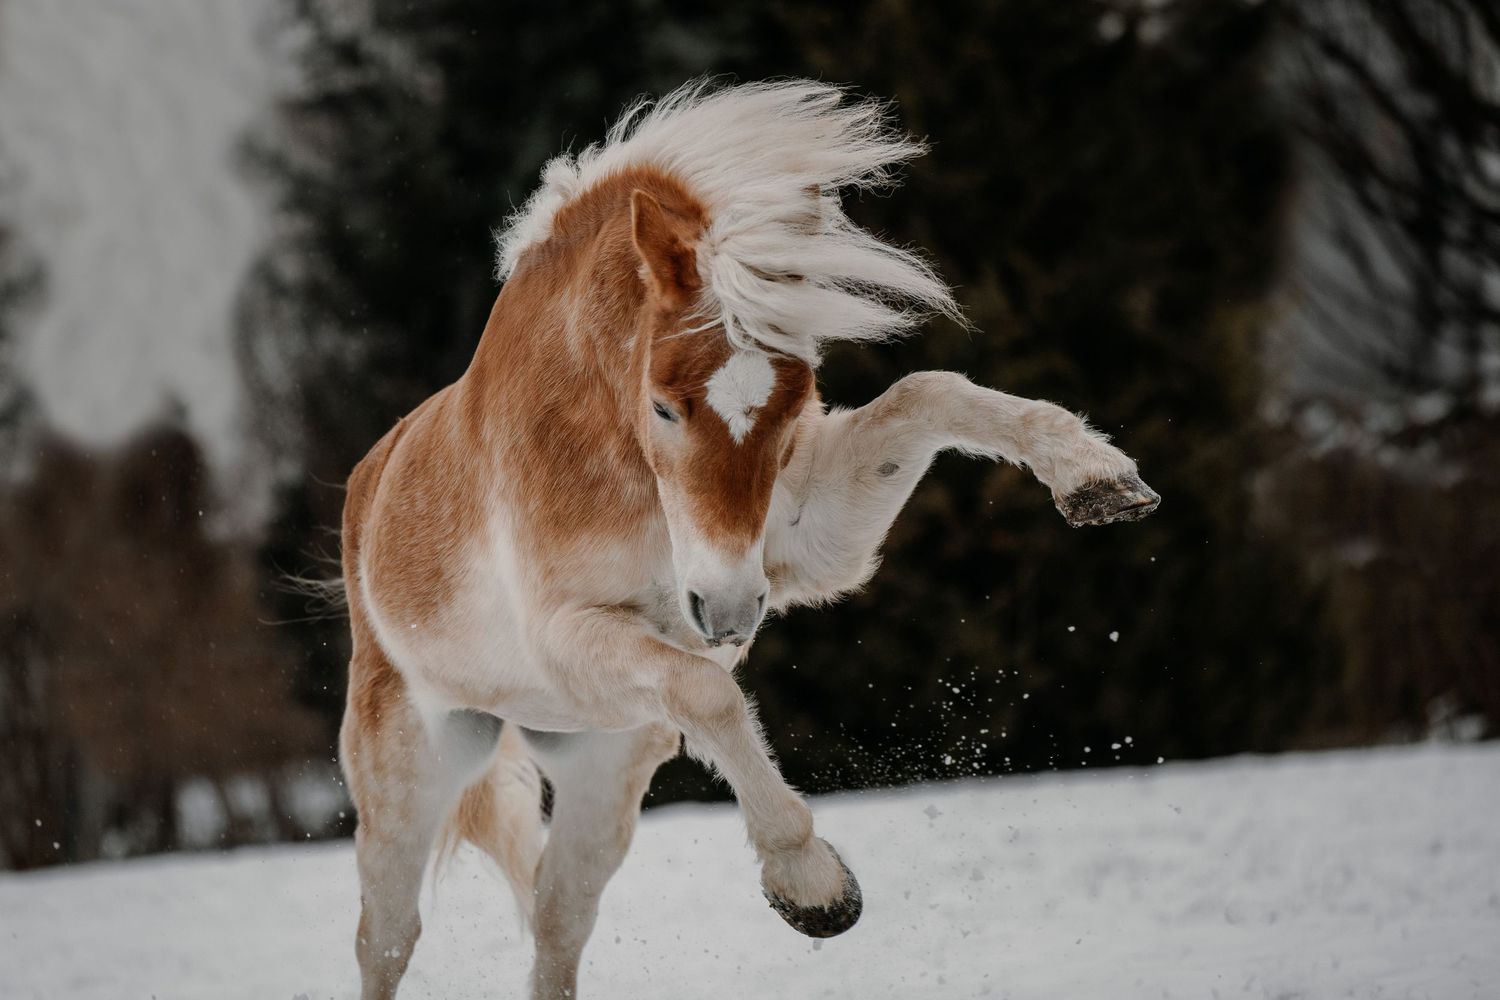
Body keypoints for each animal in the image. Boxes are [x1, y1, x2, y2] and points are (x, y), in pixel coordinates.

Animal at [338, 79, 1159, 1000]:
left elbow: (929, 392)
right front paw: (814, 890)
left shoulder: (801, 544)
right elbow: (709, 693)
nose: (727, 612)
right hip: (414, 774)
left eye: (793, 395)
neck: (617, 462)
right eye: (663, 405)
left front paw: (1095, 478)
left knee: (556, 924)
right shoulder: (564, 635)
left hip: (602, 765)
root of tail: (367, 490)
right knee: (388, 939)